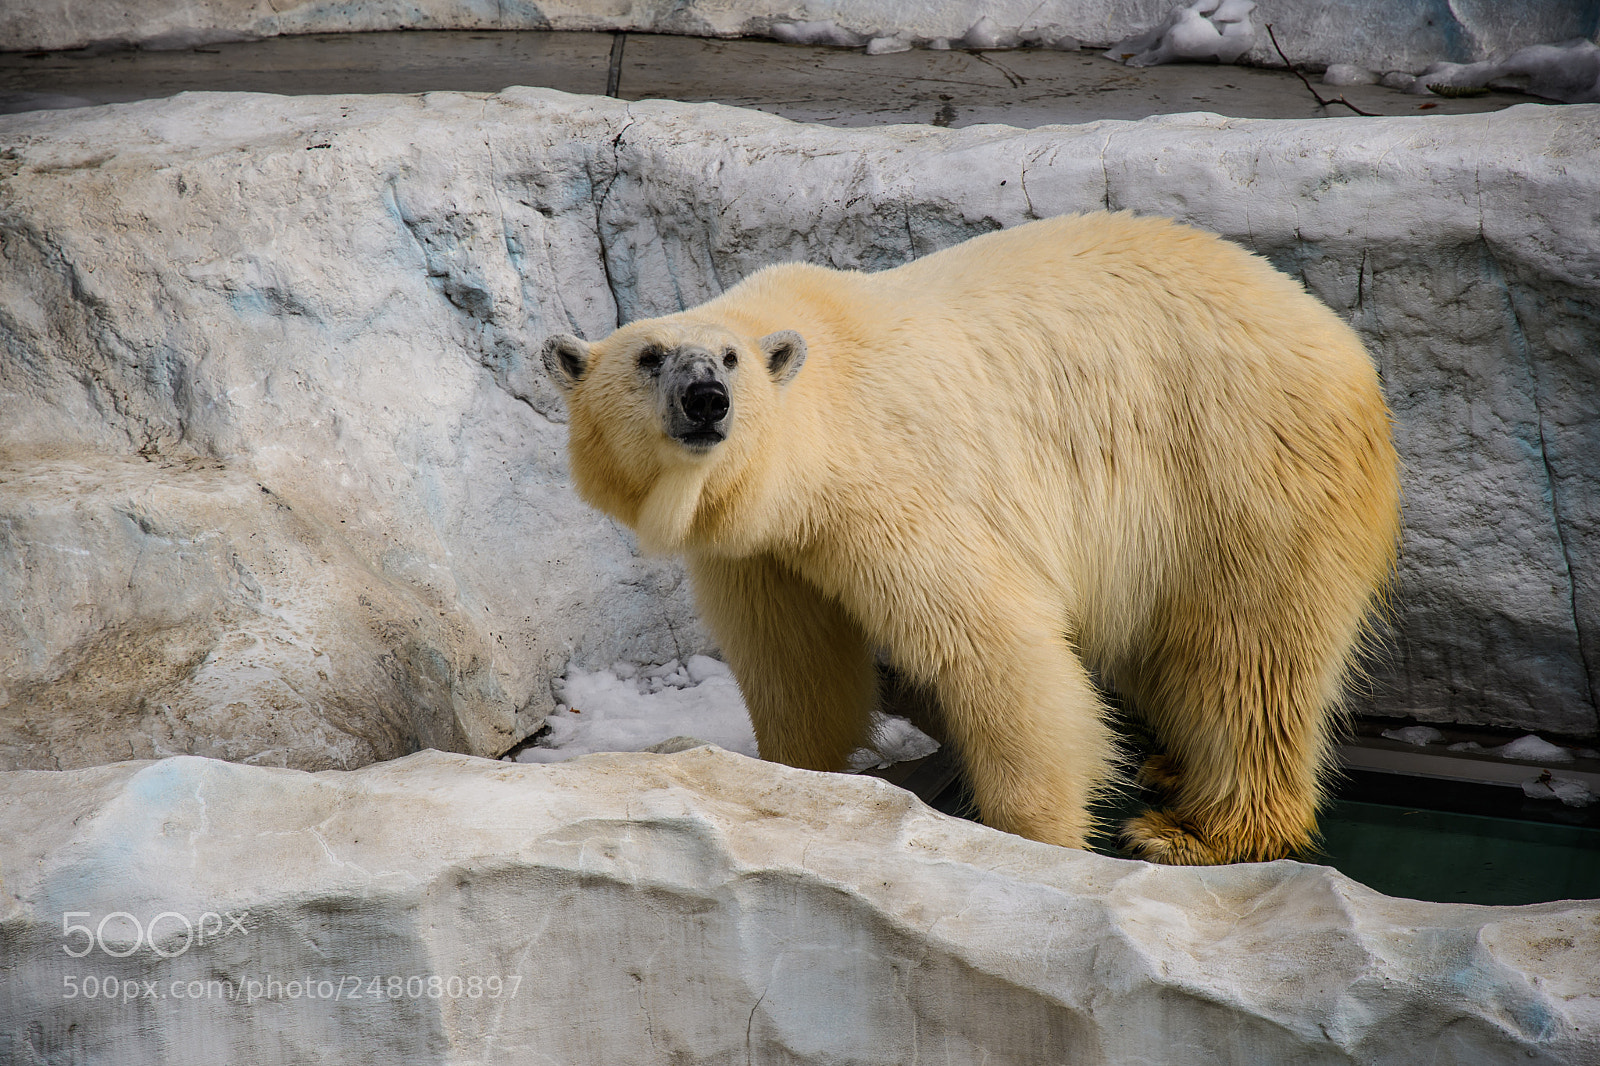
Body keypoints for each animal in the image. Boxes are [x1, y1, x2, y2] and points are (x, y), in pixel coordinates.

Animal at [541, 211, 1400, 865]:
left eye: (728, 358)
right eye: (649, 356)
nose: (707, 400)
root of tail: (1348, 351)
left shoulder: (892, 482)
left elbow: (994, 645)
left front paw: (1036, 841)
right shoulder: (757, 545)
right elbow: (794, 661)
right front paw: (786, 774)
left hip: (1241, 469)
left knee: (1246, 655)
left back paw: (1198, 831)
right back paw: (1169, 769)